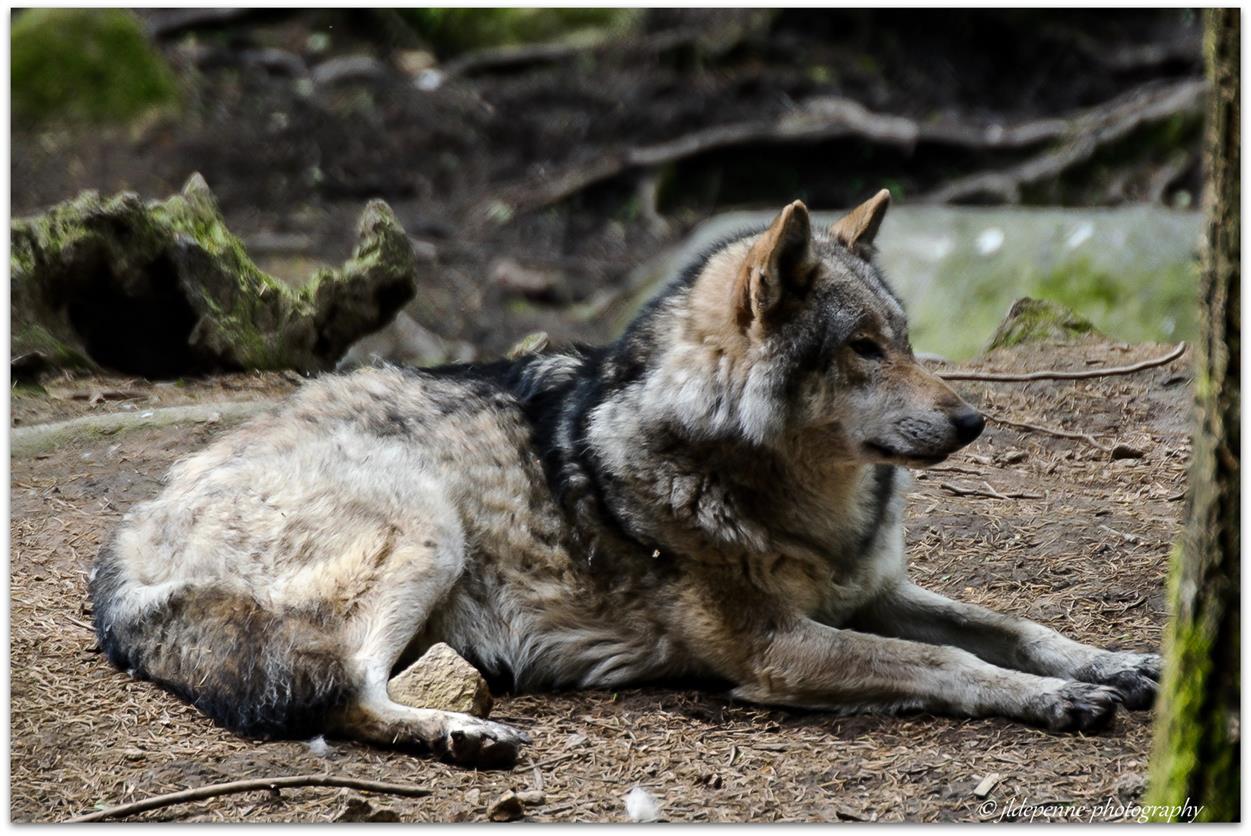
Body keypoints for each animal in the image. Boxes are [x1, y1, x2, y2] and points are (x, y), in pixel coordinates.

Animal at [95, 192, 1160, 765]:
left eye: (902, 340)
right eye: (861, 349)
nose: (973, 421)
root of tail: (132, 535)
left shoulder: (871, 591)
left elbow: (1014, 626)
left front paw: (1113, 664)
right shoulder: (776, 647)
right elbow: (948, 662)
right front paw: (1052, 702)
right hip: (427, 526)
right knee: (338, 696)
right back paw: (460, 736)